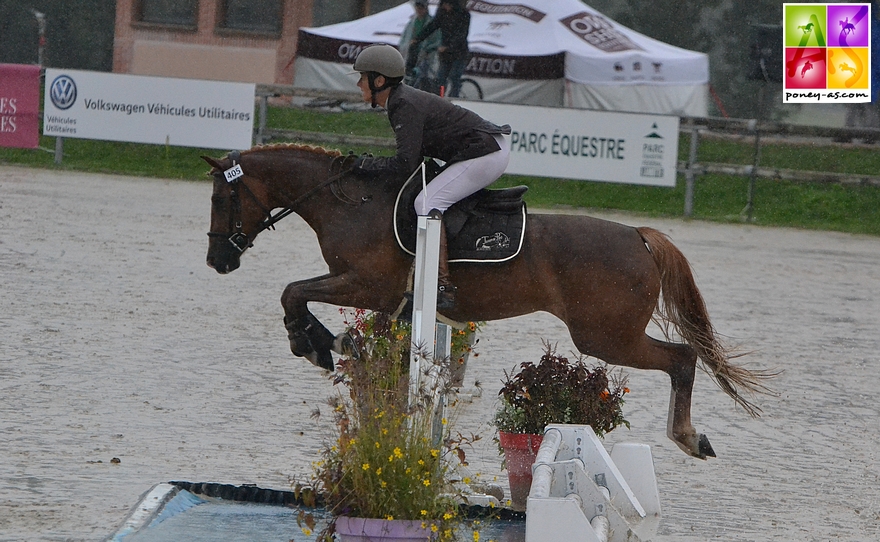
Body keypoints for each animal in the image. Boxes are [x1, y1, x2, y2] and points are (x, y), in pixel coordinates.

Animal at [203, 142, 772, 462]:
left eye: (221, 197)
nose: (217, 261)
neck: (350, 202)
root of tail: (640, 236)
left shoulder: (366, 284)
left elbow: (293, 291)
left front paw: (314, 343)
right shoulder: (379, 295)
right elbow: (311, 302)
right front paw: (334, 342)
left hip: (605, 336)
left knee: (684, 358)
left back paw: (689, 437)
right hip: (609, 334)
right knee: (684, 359)